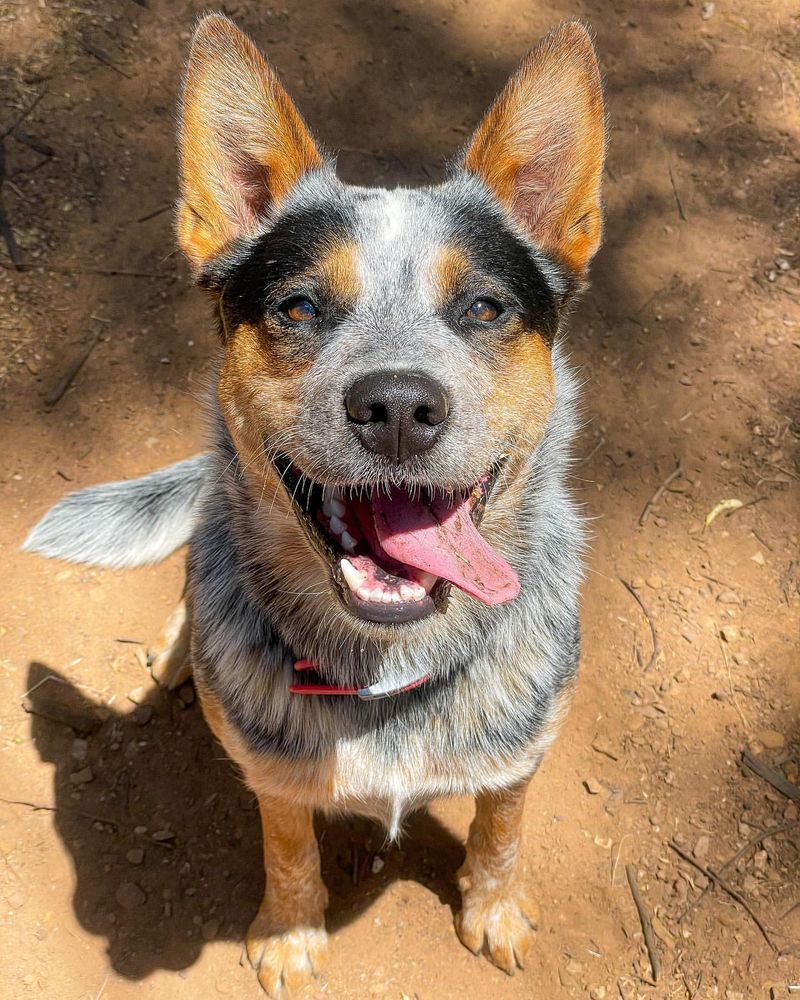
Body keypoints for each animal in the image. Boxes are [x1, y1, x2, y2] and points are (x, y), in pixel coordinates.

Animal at [21, 13, 604, 992]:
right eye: (298, 307)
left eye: (484, 309)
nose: (398, 407)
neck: (386, 670)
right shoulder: (269, 766)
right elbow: (287, 840)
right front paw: (290, 933)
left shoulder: (524, 748)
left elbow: (500, 826)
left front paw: (493, 910)